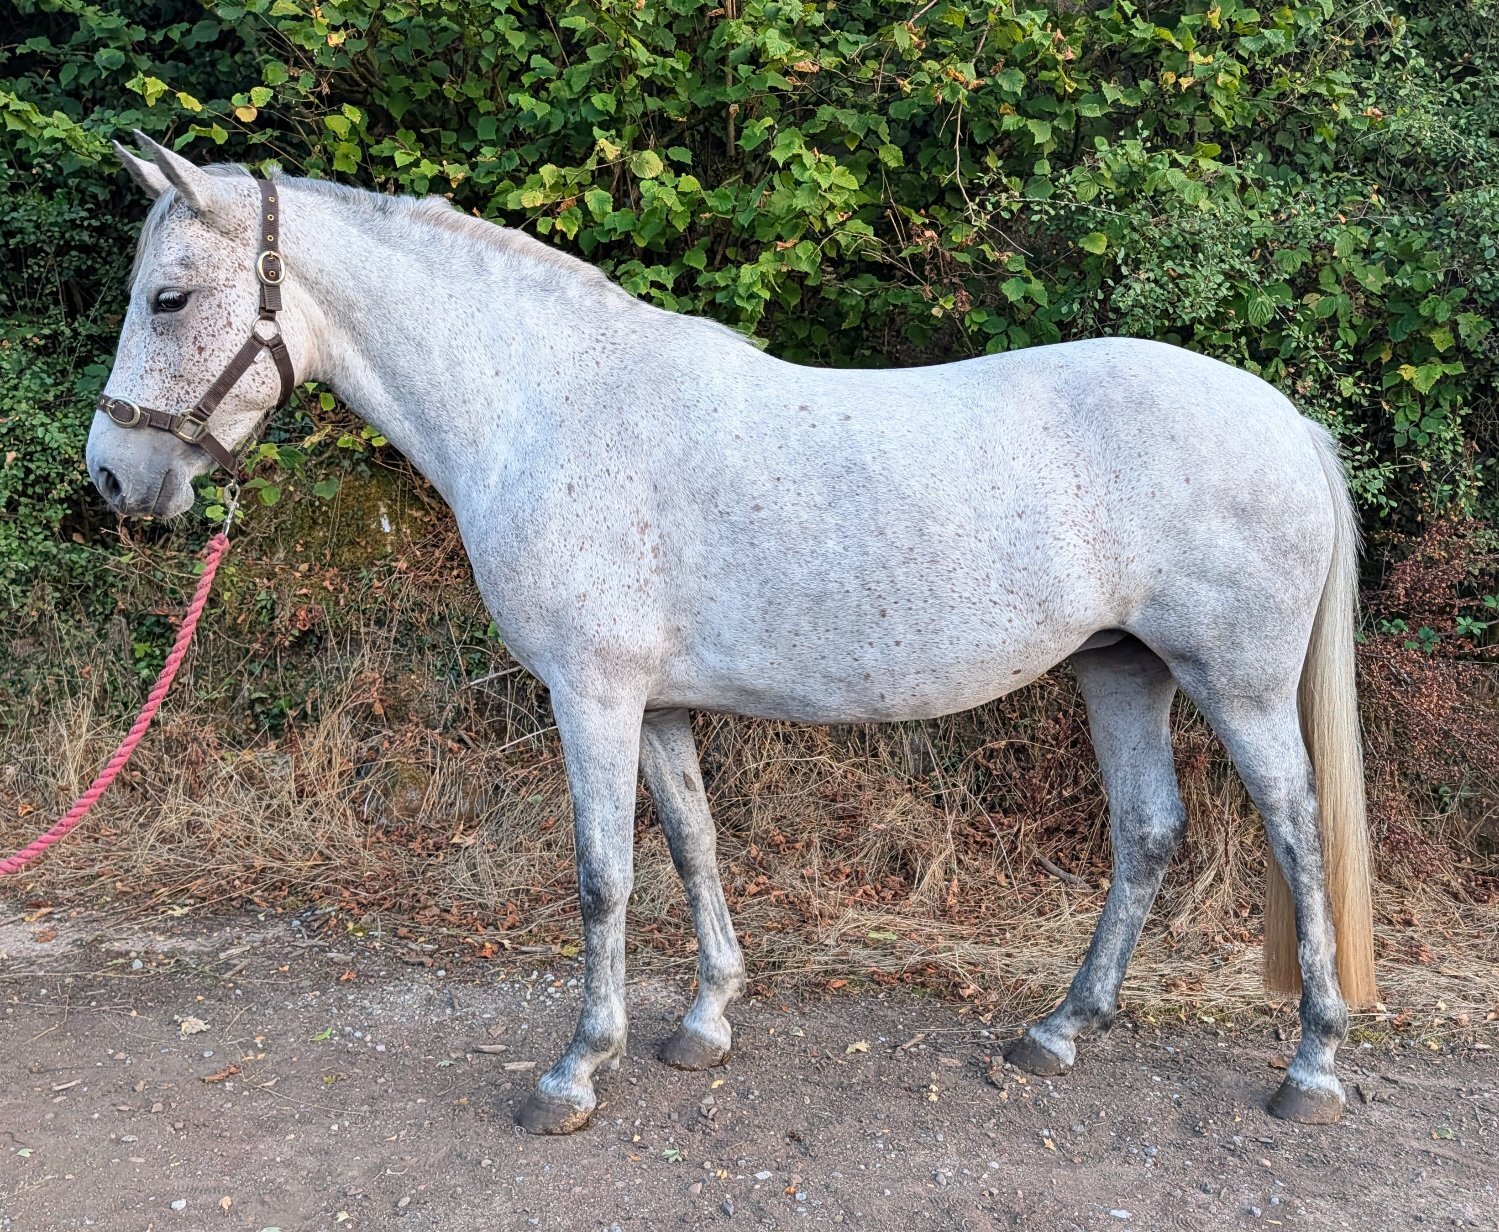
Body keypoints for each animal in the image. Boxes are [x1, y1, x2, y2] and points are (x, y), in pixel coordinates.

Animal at [86, 133, 1376, 1136]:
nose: (114, 477)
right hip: (1122, 671)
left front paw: (573, 1071)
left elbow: (602, 874)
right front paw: (702, 1020)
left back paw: (1308, 1065)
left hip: (1235, 682)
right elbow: (693, 843)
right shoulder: (655, 704)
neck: (546, 406)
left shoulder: (591, 694)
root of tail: (1283, 416)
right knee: (1146, 832)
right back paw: (1056, 1031)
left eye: (168, 297)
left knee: (1295, 829)